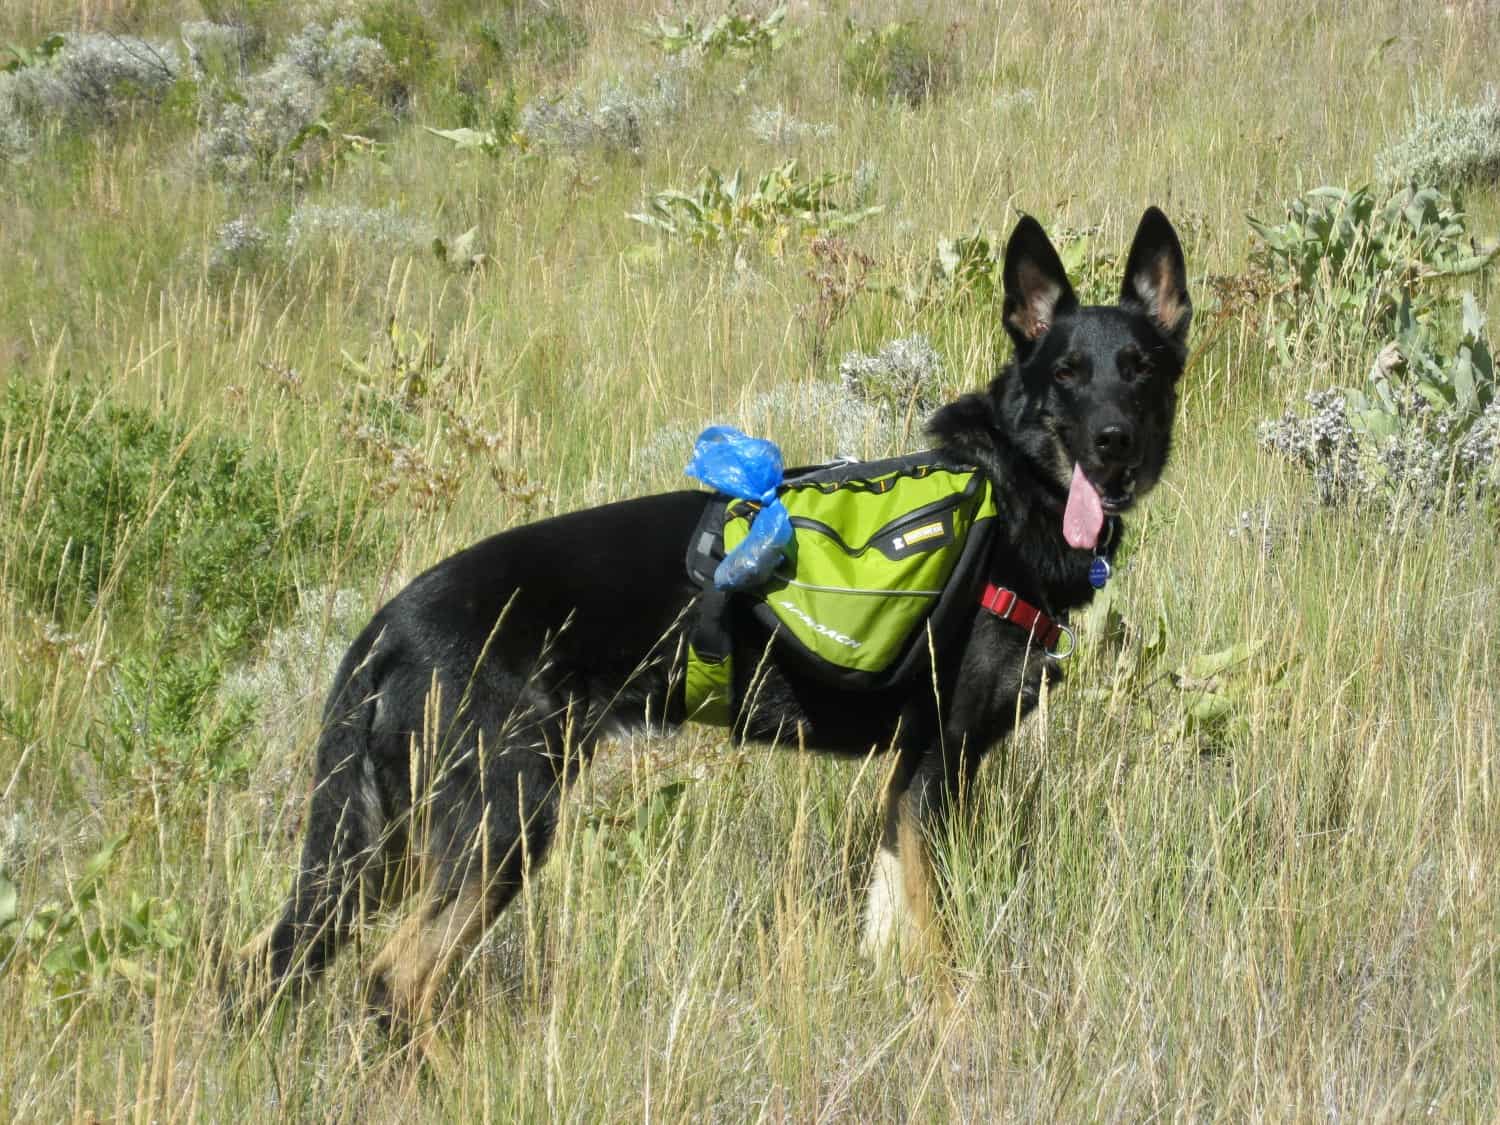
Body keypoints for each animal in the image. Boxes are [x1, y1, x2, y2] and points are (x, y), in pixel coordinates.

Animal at [237, 210, 1194, 1038]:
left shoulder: (909, 778)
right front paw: (960, 1027)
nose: (1113, 442)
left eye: (1140, 368)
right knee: (395, 977)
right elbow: (935, 939)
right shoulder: (941, 763)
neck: (1009, 495)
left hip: (388, 841)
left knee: (271, 960)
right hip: (499, 820)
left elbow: (890, 925)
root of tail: (386, 624)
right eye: (1066, 374)